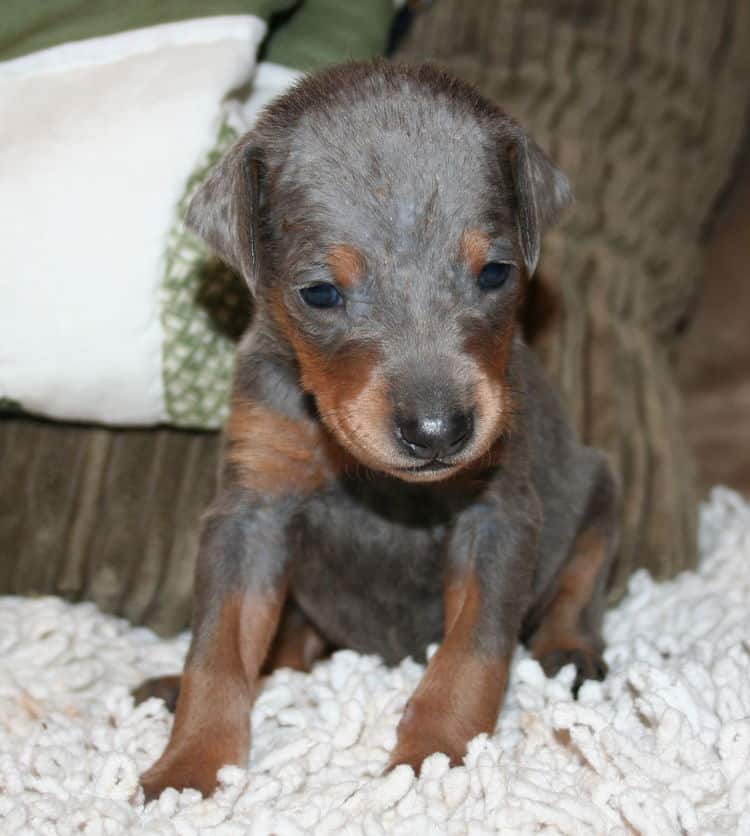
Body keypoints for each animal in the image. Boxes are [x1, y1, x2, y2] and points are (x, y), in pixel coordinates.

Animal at [135, 62, 616, 800]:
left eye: (495, 272)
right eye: (319, 293)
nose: (438, 431)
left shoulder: (499, 512)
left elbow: (471, 655)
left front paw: (433, 757)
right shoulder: (252, 509)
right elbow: (217, 648)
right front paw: (189, 764)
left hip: (598, 488)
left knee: (579, 582)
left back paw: (570, 649)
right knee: (288, 648)